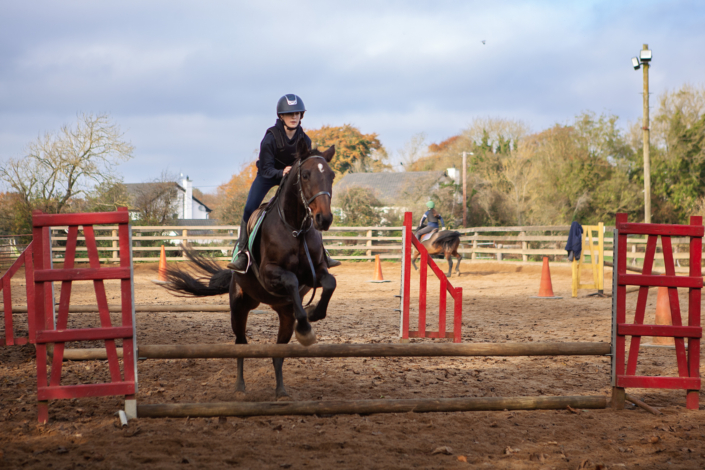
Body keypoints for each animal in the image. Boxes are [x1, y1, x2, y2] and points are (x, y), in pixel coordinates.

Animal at [162, 139, 336, 400]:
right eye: (305, 175)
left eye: (332, 176)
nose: (324, 219)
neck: (295, 229)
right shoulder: (268, 274)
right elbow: (291, 280)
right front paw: (306, 327)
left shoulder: (314, 272)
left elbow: (329, 282)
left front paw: (314, 314)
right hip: (239, 307)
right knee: (241, 343)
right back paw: (240, 386)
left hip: (283, 314)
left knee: (278, 352)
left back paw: (281, 390)